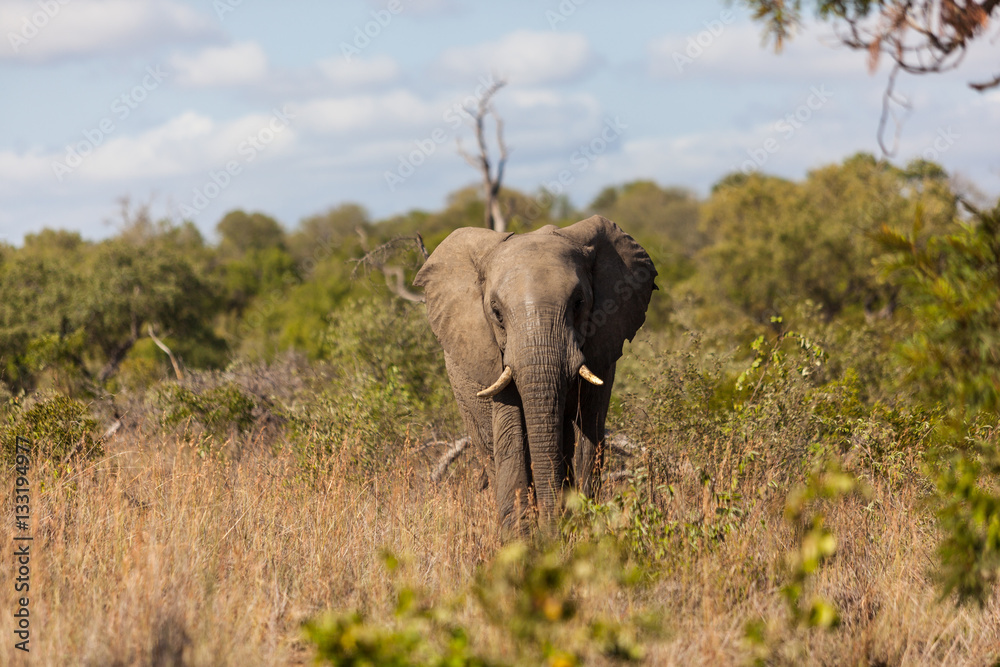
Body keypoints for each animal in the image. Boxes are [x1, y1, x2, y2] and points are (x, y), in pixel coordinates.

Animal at [414, 215, 657, 531]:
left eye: (579, 303)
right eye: (497, 313)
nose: (553, 528)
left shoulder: (603, 344)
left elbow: (588, 433)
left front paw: (579, 530)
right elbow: (511, 434)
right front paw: (524, 540)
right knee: (490, 450)